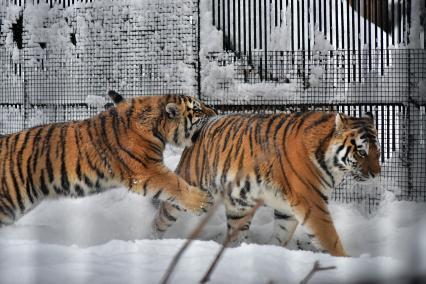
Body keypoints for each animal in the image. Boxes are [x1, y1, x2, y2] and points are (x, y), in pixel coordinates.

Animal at [0, 92, 216, 226]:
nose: (215, 112)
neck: (156, 126)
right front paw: (202, 201)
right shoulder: (146, 170)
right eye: (198, 110)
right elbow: (174, 184)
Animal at [151, 110, 382, 256]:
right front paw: (345, 261)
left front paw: (273, 251)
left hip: (239, 205)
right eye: (361, 152)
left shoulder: (287, 209)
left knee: (235, 234)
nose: (376, 174)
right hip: (191, 189)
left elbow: (281, 234)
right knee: (162, 216)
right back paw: (151, 240)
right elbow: (329, 238)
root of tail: (206, 120)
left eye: (377, 152)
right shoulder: (312, 203)